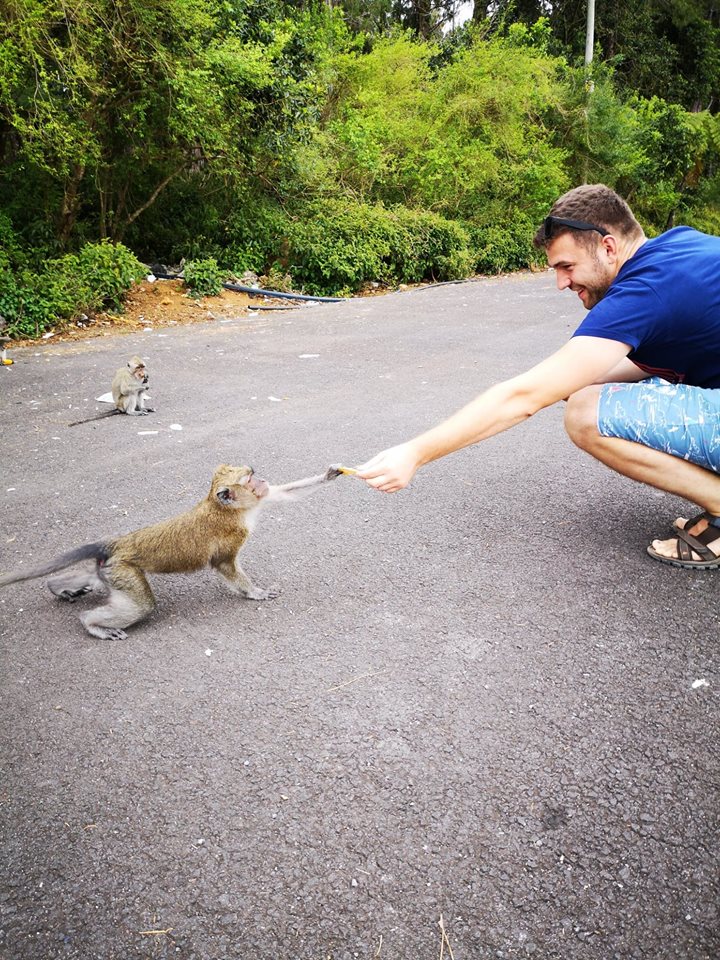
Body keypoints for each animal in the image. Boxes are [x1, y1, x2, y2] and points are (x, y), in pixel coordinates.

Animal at [0, 464, 343, 640]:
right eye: (247, 478)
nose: (261, 479)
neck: (228, 508)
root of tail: (118, 542)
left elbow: (283, 493)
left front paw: (329, 475)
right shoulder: (229, 536)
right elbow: (225, 565)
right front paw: (255, 593)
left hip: (110, 568)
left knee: (92, 575)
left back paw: (59, 588)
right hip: (125, 570)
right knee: (141, 606)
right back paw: (90, 623)